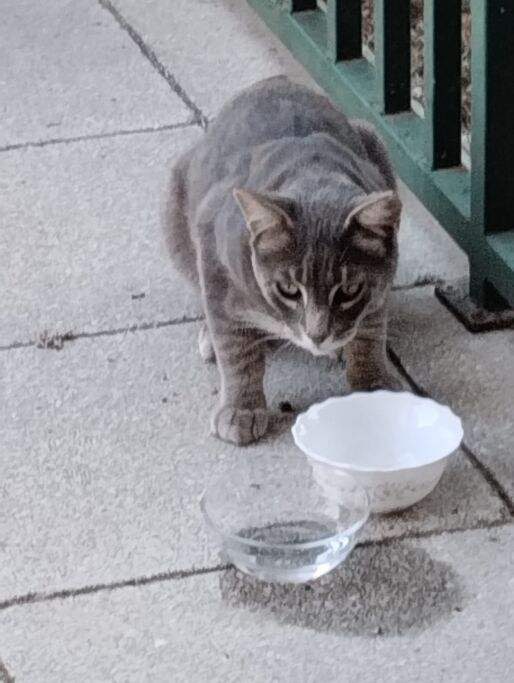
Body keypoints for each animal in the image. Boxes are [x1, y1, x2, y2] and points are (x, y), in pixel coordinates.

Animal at [165, 76, 402, 446]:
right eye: (289, 290)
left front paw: (372, 382)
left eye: (349, 291)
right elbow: (235, 348)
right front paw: (241, 408)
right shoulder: (214, 260)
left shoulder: (380, 287)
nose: (317, 335)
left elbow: (371, 330)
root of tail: (276, 80)